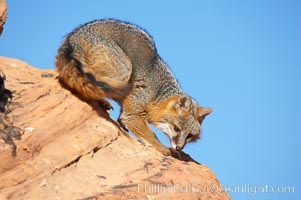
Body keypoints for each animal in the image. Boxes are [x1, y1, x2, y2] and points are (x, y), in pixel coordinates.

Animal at [54, 19, 211, 156]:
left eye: (190, 135)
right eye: (176, 128)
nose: (179, 148)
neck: (156, 94)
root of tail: (73, 36)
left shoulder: (128, 108)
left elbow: (123, 118)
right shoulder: (133, 114)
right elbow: (150, 135)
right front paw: (161, 147)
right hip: (123, 71)